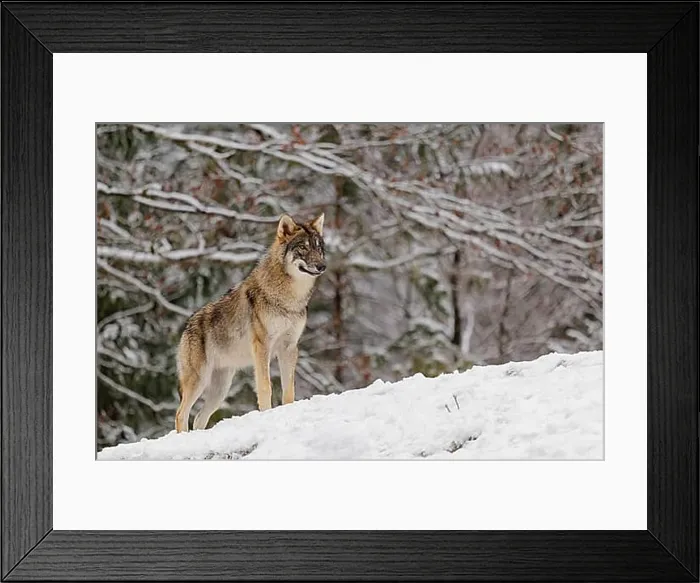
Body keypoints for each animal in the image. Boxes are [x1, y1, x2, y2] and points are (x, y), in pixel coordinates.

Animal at [175, 213, 326, 432]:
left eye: (318, 247)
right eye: (304, 248)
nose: (322, 266)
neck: (289, 299)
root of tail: (187, 325)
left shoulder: (289, 347)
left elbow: (289, 389)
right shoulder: (262, 346)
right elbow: (265, 386)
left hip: (220, 389)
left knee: (199, 419)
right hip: (199, 381)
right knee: (181, 414)